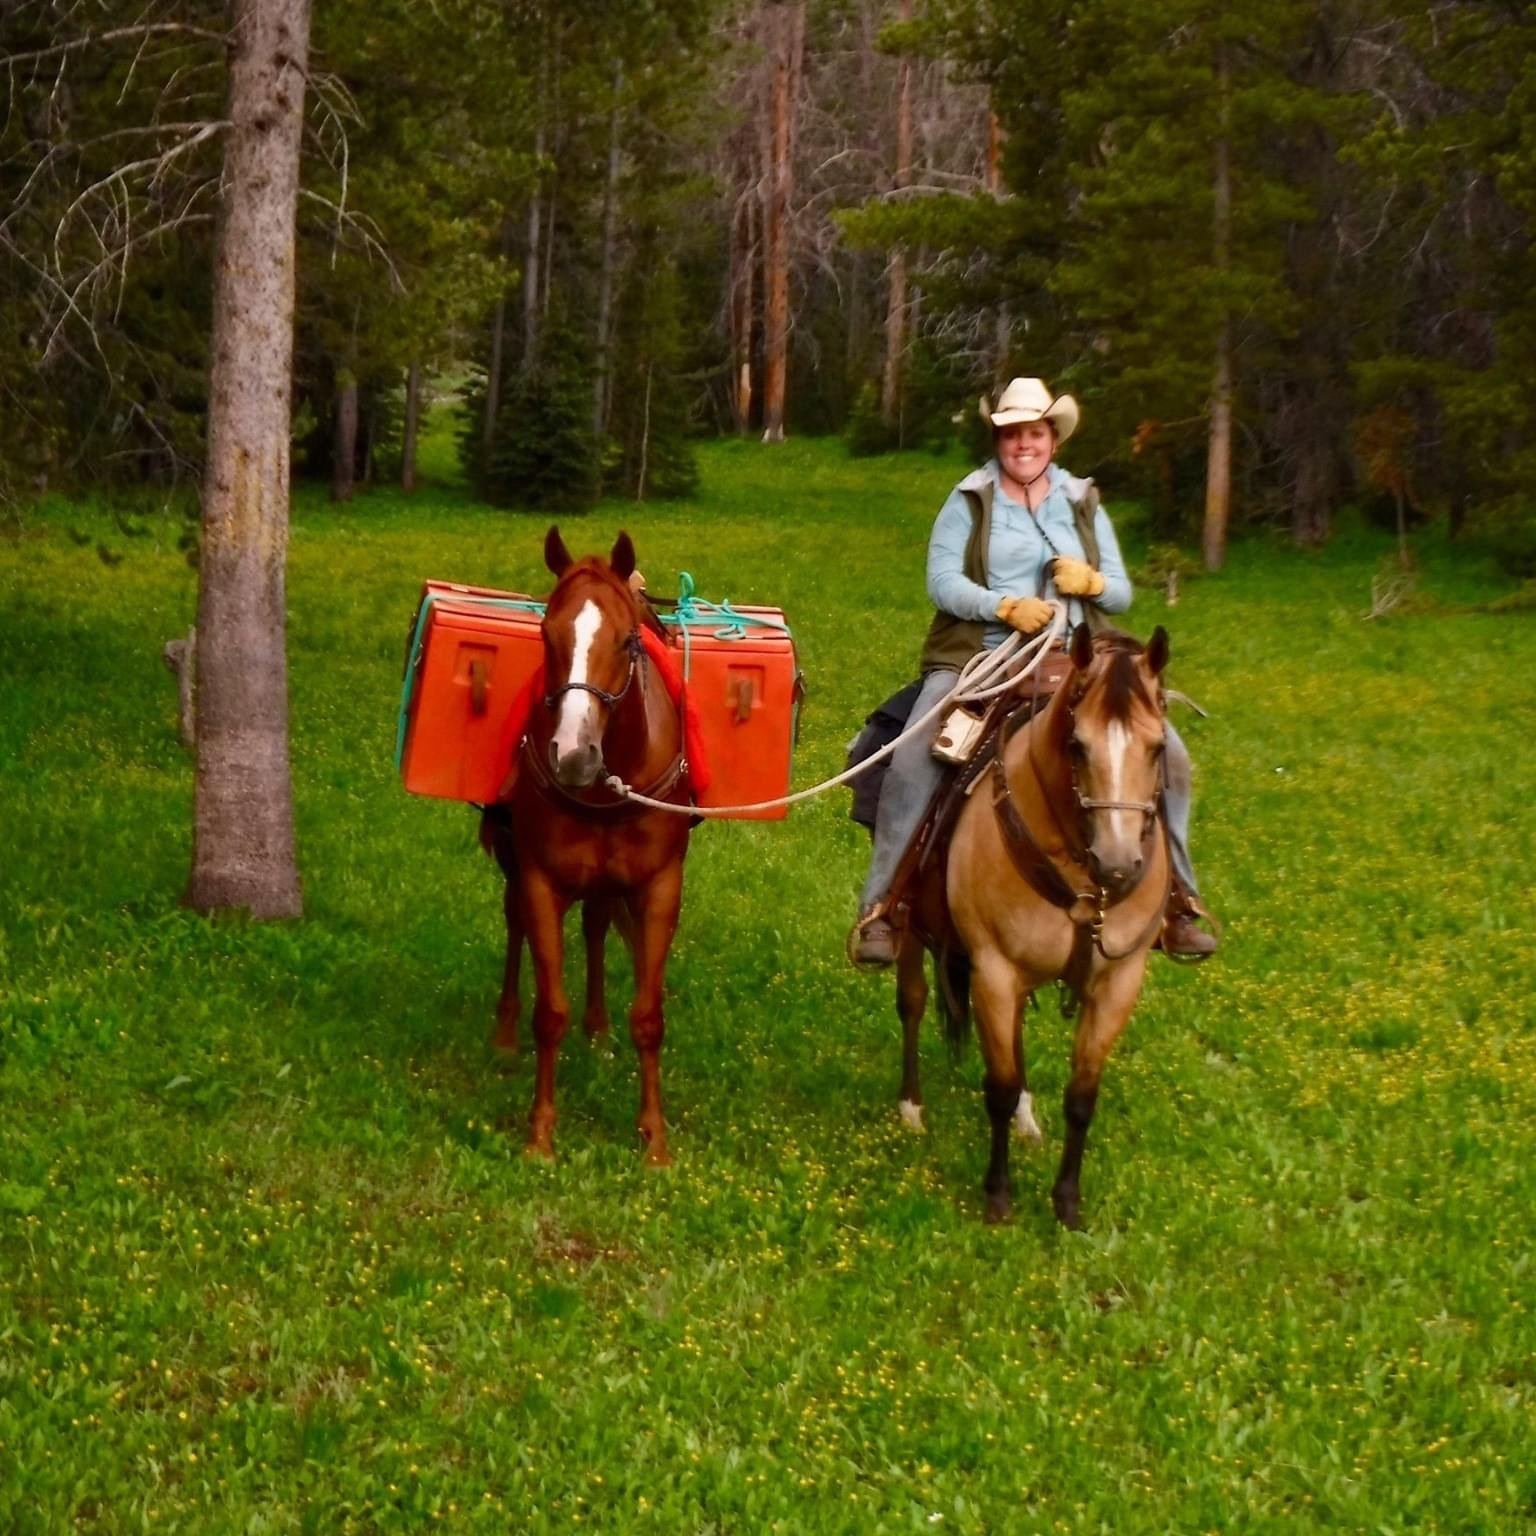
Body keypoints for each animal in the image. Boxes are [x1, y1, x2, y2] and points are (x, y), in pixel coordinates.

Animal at [497, 531, 691, 1161]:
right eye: (544, 633)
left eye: (627, 640)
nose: (575, 754)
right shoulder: (540, 880)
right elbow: (549, 1012)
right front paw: (540, 1134)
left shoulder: (660, 887)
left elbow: (649, 1017)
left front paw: (654, 1140)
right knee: (513, 925)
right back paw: (504, 1032)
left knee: (598, 926)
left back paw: (600, 1028)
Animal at [897, 620, 1161, 1222]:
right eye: (1077, 745)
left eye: (1159, 747)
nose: (1118, 864)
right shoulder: (995, 969)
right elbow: (996, 1085)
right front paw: (998, 1195)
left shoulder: (1118, 982)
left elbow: (1081, 1097)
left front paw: (1067, 1203)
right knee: (913, 1003)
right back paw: (911, 1109)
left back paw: (1027, 1118)